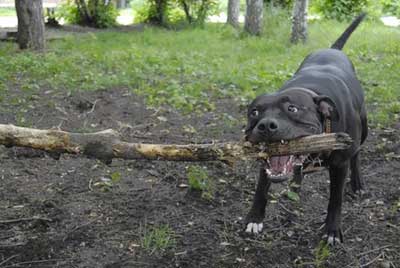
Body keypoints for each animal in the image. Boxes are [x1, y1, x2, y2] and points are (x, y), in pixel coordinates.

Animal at [242, 14, 368, 245]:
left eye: (292, 109)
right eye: (254, 112)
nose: (266, 125)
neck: (310, 89)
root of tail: (333, 49)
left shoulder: (340, 165)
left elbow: (335, 199)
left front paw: (332, 230)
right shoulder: (266, 161)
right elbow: (261, 188)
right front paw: (254, 218)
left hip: (363, 129)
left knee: (357, 154)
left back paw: (357, 183)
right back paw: (295, 184)